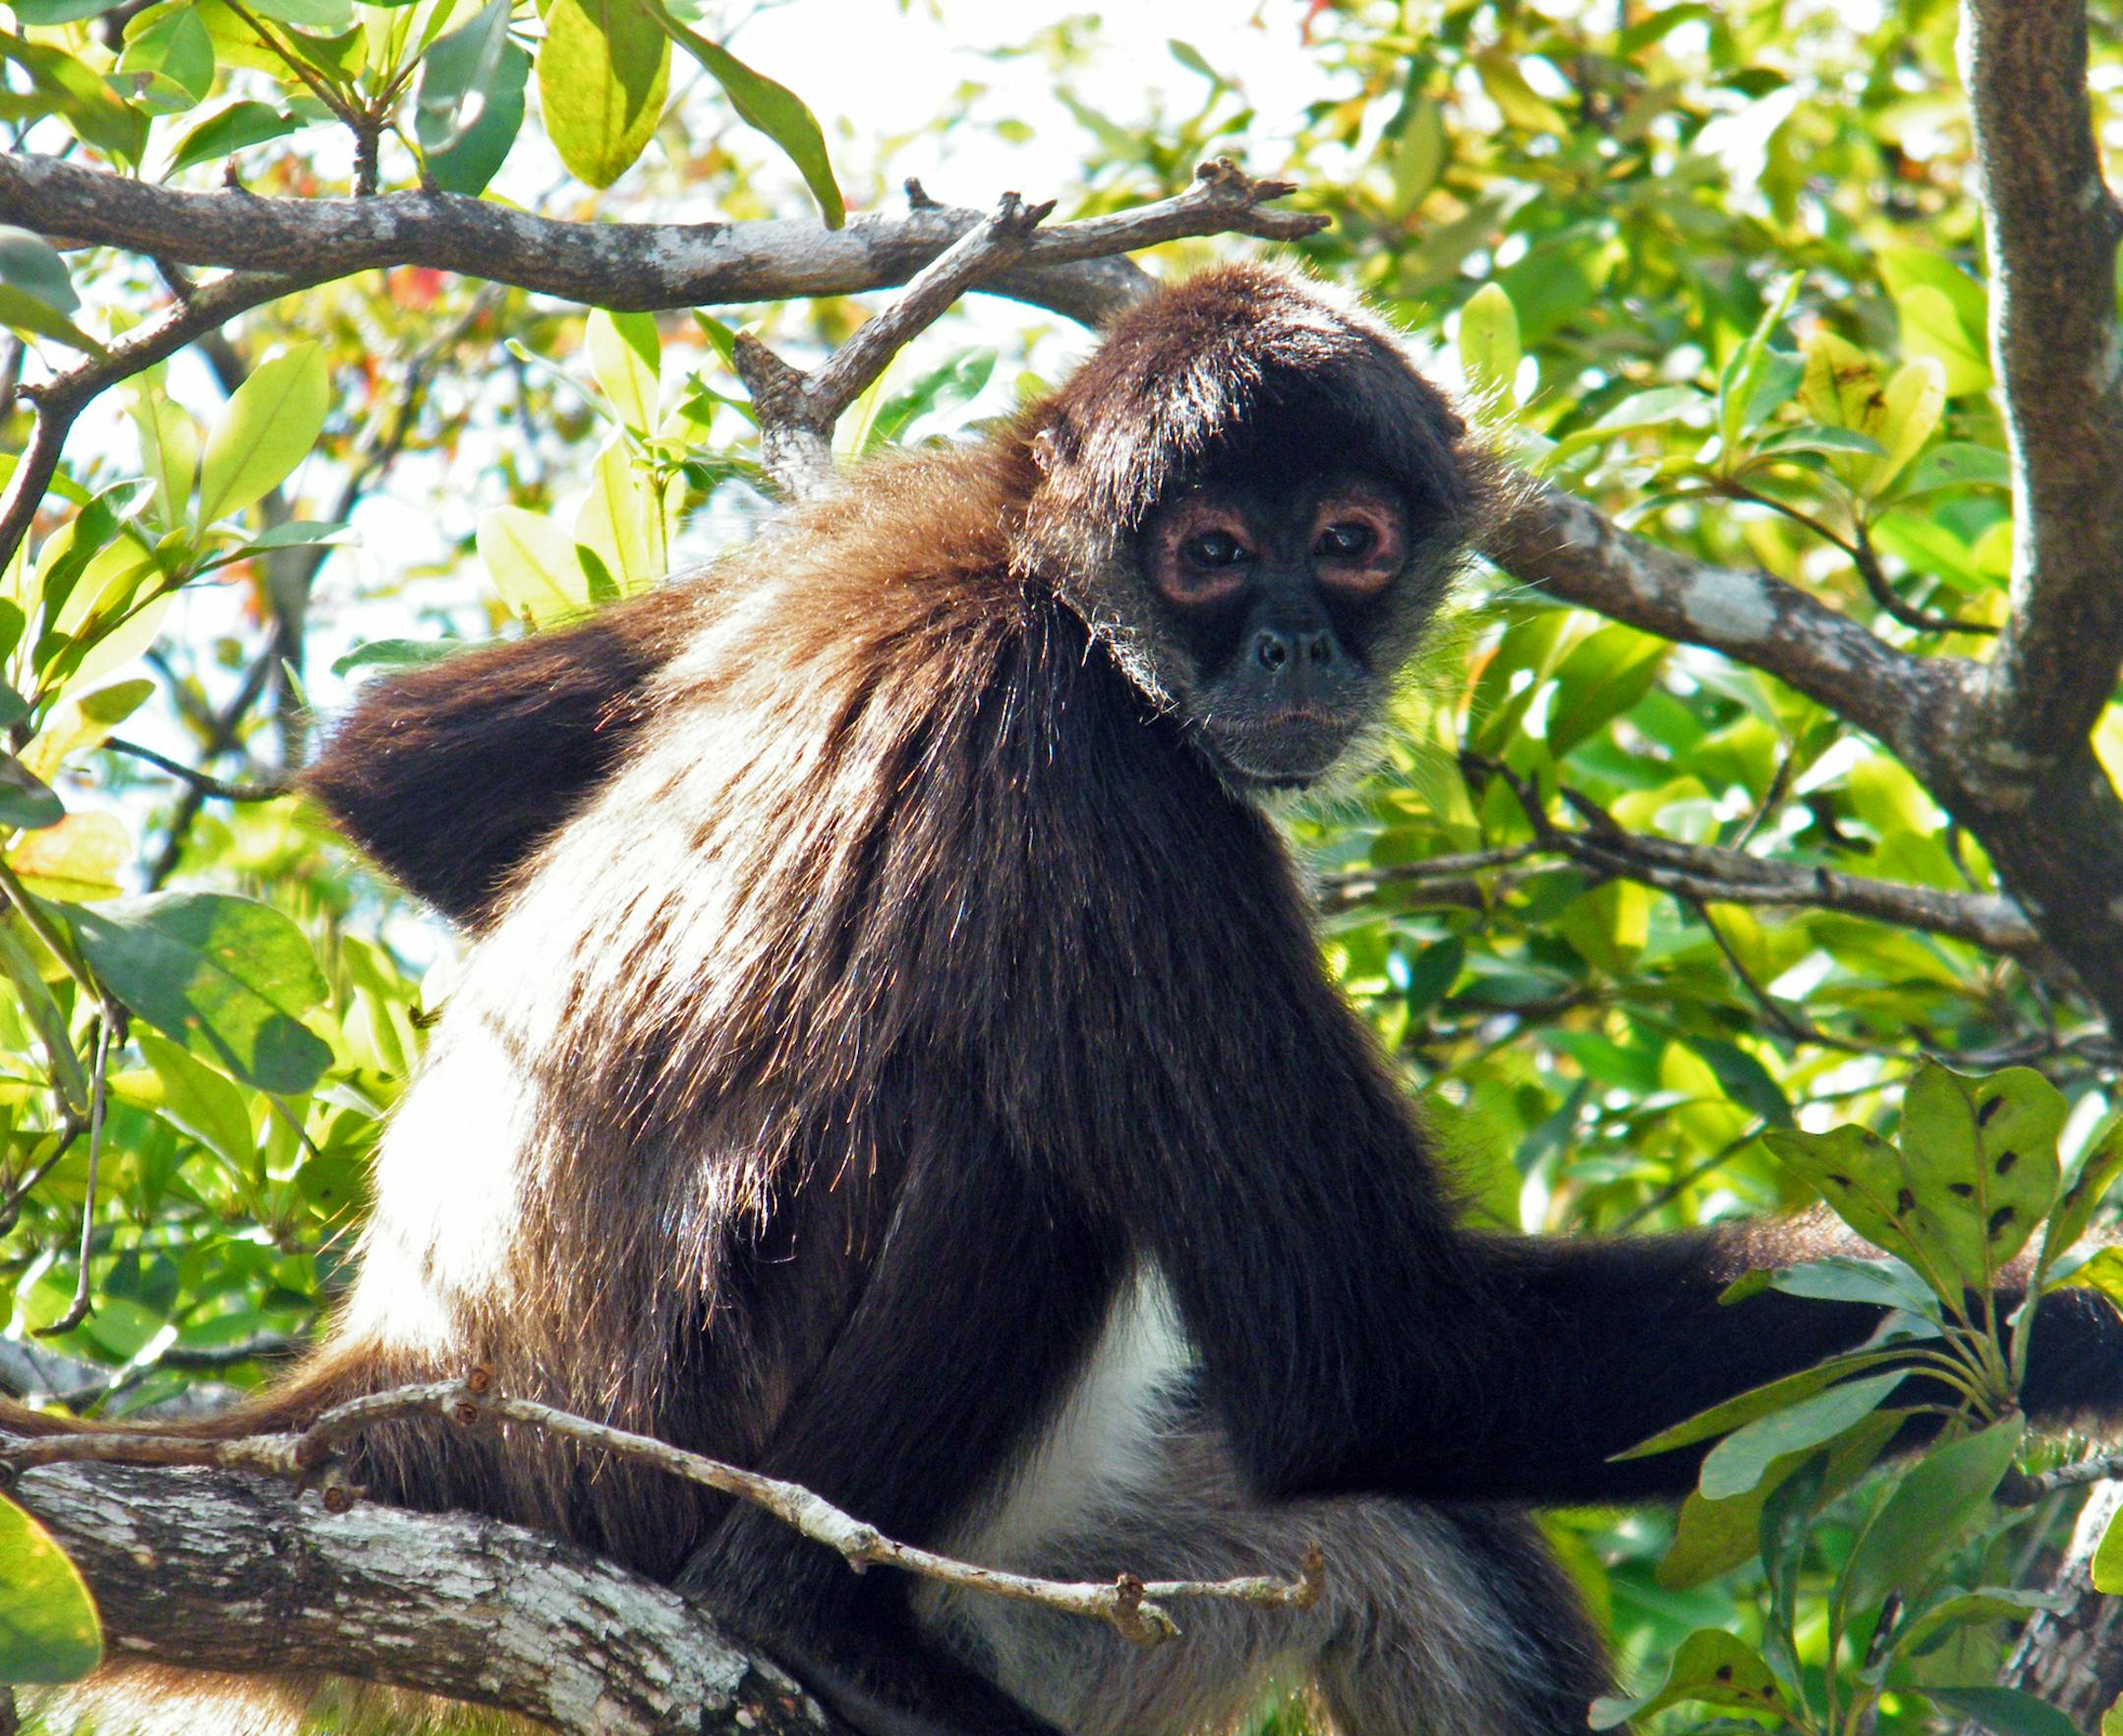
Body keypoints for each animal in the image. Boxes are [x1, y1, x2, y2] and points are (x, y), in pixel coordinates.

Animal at [14, 263, 2123, 1736]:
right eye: (1210, 556)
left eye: (1348, 543)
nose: (1287, 643)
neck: (1039, 586)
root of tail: (410, 1356)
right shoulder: (1109, 777)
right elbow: (1378, 1359)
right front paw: (2066, 1341)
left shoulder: (906, 491)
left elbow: (393, 770)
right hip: (671, 1427)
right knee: (1017, 1146)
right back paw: (806, 1618)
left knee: (1396, 1517)